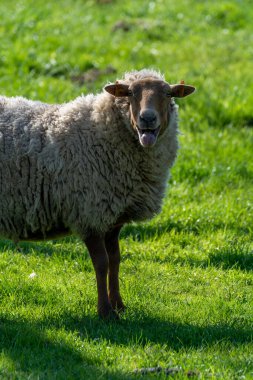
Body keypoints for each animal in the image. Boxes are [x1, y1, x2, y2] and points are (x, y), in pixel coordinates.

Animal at [0, 69, 196, 318]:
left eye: (168, 94)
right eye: (130, 93)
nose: (148, 118)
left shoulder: (113, 219)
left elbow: (115, 260)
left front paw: (119, 305)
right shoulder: (90, 213)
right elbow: (102, 264)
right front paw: (105, 311)